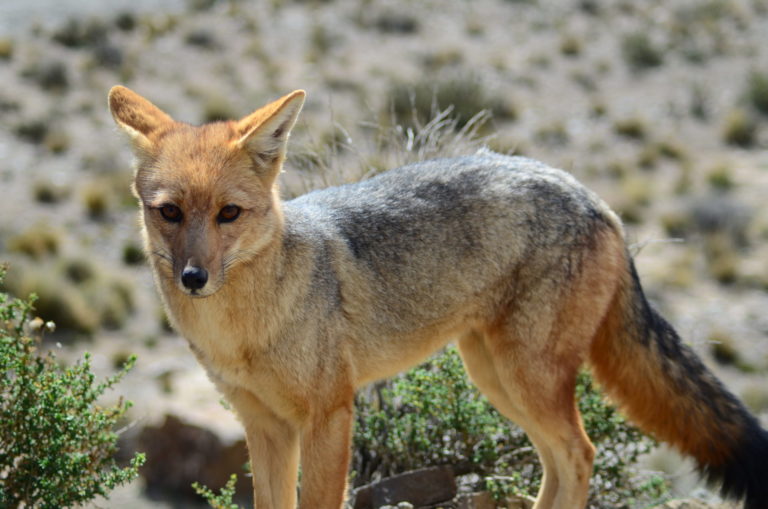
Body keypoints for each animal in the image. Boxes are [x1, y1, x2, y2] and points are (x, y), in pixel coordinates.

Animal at [106, 87, 768, 508]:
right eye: (169, 213)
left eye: (229, 214)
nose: (194, 277)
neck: (241, 331)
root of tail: (590, 195)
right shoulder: (264, 426)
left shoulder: (329, 415)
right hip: (495, 378)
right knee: (560, 461)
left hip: (523, 378)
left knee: (581, 453)